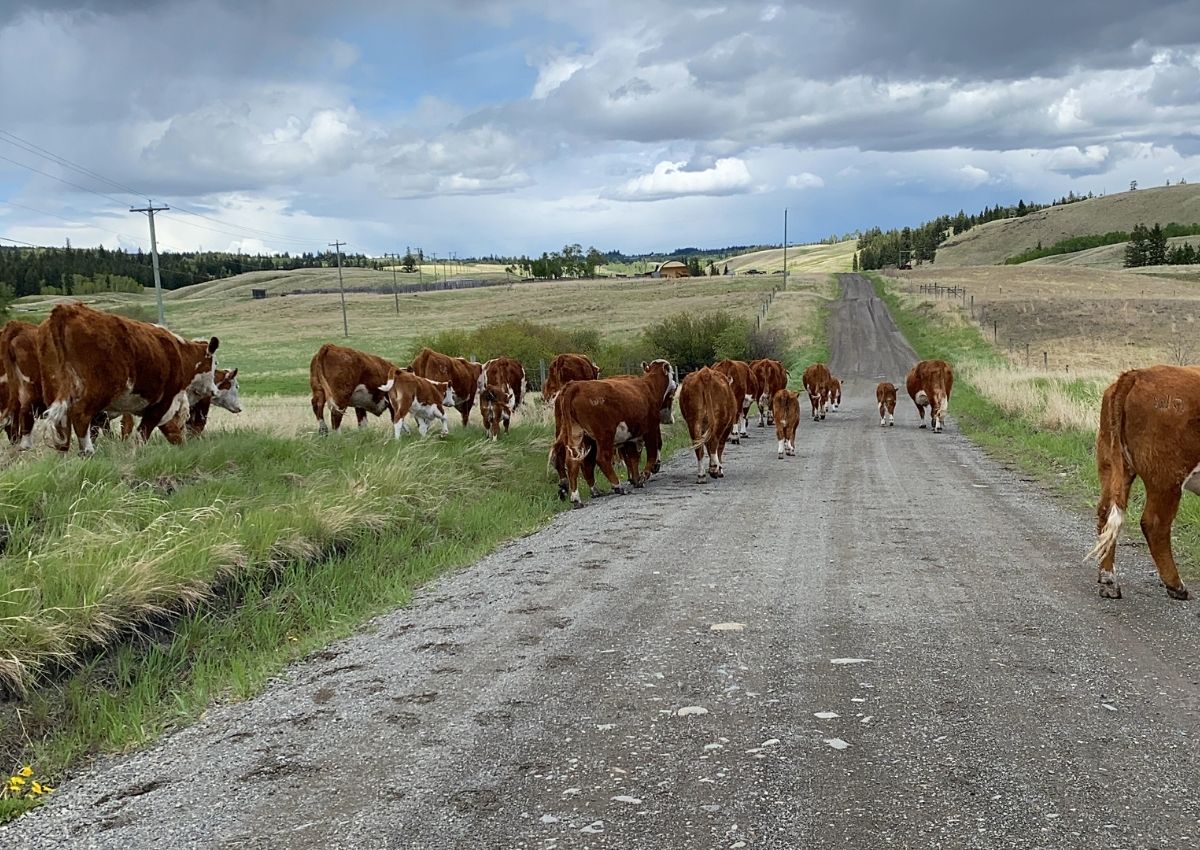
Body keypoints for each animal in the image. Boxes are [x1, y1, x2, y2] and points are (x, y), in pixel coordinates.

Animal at [43, 302, 220, 453]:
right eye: (214, 363)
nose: (215, 390)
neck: (179, 352)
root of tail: (67, 309)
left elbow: (168, 431)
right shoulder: (163, 402)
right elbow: (143, 432)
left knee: (61, 423)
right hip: (96, 391)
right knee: (80, 415)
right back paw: (88, 452)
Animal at [549, 357, 676, 504]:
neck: (649, 386)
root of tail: (574, 386)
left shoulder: (631, 437)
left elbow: (633, 458)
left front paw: (636, 479)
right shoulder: (650, 430)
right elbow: (652, 453)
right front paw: (645, 475)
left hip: (578, 434)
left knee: (574, 461)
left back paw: (578, 497)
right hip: (604, 434)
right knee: (601, 458)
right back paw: (617, 486)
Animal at [1089, 367, 1200, 600]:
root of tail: (1137, 373)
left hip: (1112, 463)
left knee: (1105, 512)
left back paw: (1109, 581)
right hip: (1166, 477)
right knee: (1155, 524)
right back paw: (1176, 586)